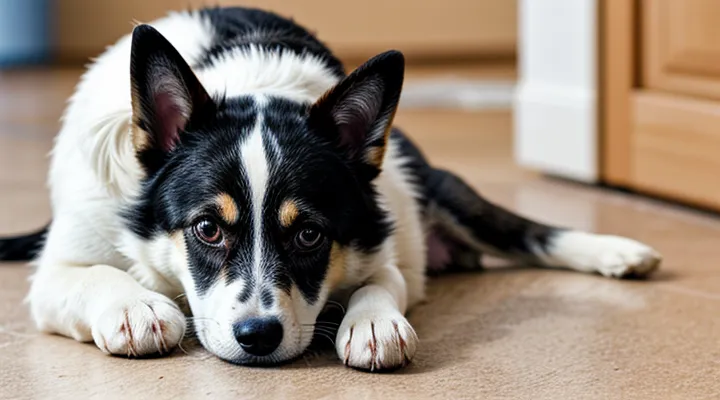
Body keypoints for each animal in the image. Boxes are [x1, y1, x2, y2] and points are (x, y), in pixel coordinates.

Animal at [0, 6, 664, 370]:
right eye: (207, 229)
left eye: (310, 235)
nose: (258, 337)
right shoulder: (58, 268)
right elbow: (93, 276)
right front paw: (135, 307)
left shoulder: (380, 246)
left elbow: (380, 285)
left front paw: (372, 324)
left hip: (439, 189)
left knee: (529, 231)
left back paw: (617, 251)